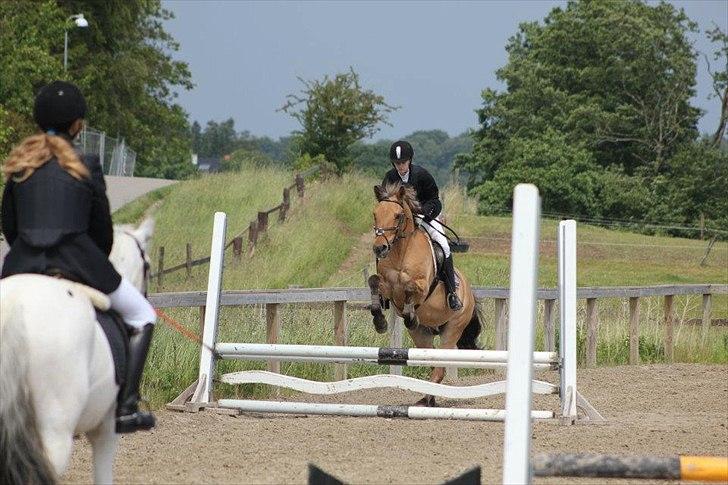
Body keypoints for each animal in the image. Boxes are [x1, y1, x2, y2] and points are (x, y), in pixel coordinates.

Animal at [366, 183, 480, 406]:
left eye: (398, 216)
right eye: (375, 214)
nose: (380, 248)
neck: (400, 251)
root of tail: (470, 295)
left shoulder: (422, 286)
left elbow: (410, 288)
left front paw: (410, 315)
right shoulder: (388, 286)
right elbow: (374, 282)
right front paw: (379, 321)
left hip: (451, 331)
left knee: (440, 365)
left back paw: (428, 400)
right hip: (422, 335)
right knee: (433, 362)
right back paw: (427, 398)